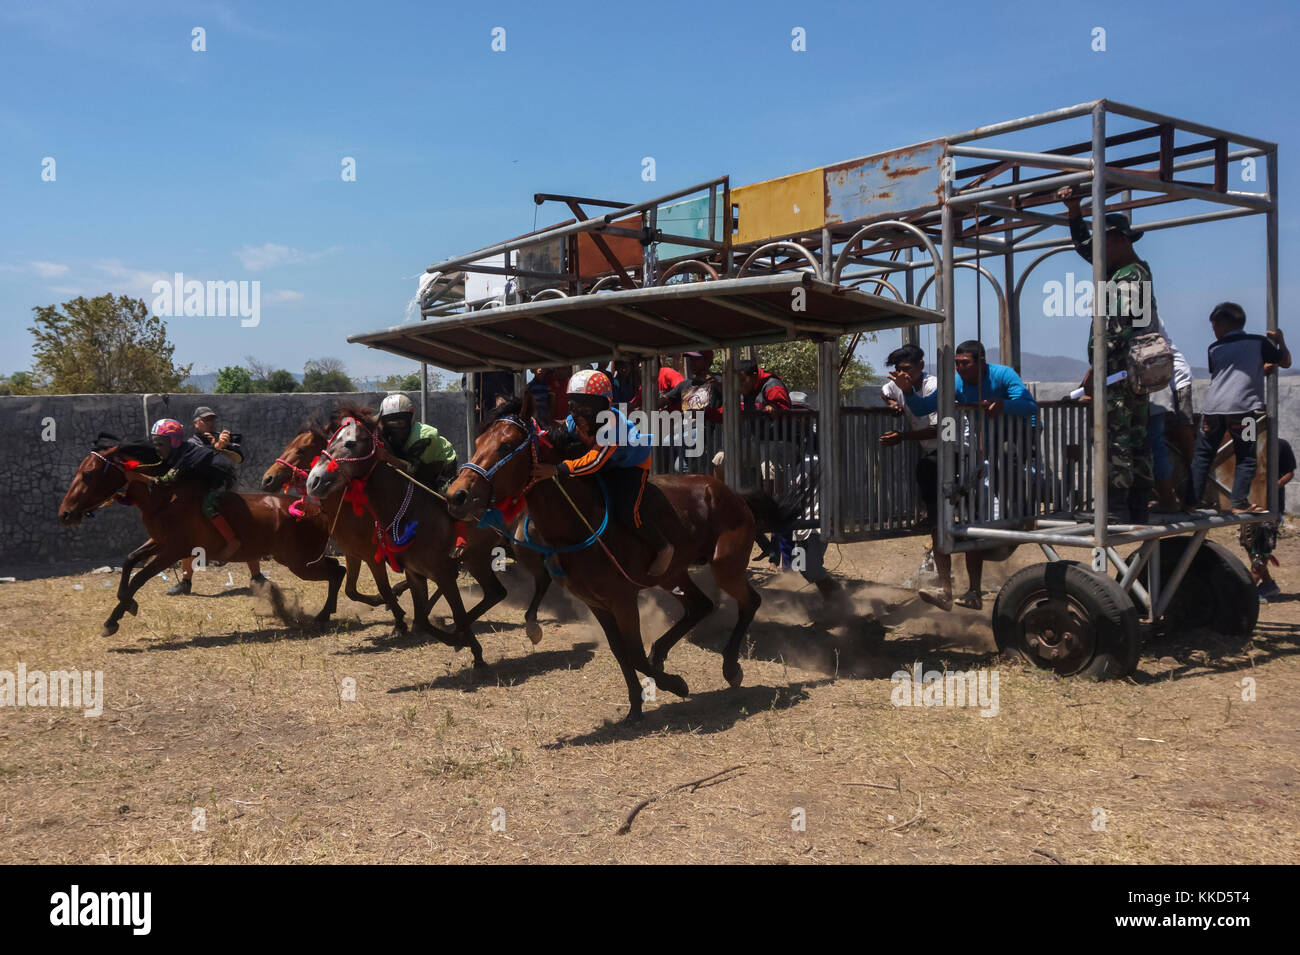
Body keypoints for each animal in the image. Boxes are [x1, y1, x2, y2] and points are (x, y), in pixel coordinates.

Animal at [57, 439, 345, 634]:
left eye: (88, 474)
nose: (65, 513)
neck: (163, 497)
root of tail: (317, 510)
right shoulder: (159, 542)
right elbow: (129, 561)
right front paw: (126, 605)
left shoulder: (173, 550)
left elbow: (138, 578)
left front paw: (112, 620)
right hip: (297, 560)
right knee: (336, 569)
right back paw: (325, 613)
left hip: (300, 563)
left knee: (337, 570)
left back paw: (324, 614)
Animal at [263, 420, 553, 639]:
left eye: (301, 450)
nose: (268, 479)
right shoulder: (355, 553)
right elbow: (352, 589)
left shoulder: (375, 557)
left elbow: (381, 589)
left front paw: (399, 618)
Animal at [447, 392, 764, 722]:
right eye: (478, 441)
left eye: (506, 445)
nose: (457, 495)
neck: (580, 521)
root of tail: (728, 491)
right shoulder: (597, 603)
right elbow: (621, 652)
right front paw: (635, 707)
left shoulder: (622, 599)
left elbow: (634, 653)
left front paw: (676, 685)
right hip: (672, 575)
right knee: (700, 606)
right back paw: (663, 652)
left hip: (726, 565)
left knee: (749, 601)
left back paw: (730, 667)